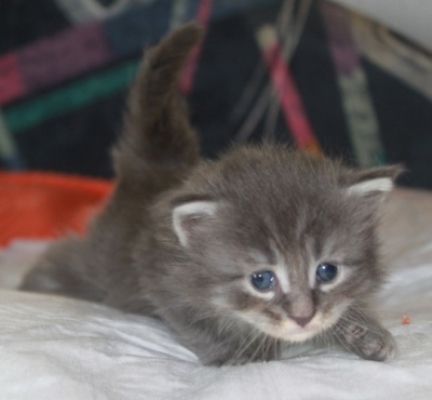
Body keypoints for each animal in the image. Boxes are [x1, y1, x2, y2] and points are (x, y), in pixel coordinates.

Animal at [22, 21, 402, 366]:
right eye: (261, 279)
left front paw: (364, 331)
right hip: (101, 267)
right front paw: (239, 356)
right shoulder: (160, 278)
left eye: (327, 271)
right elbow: (197, 324)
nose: (303, 317)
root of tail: (156, 169)